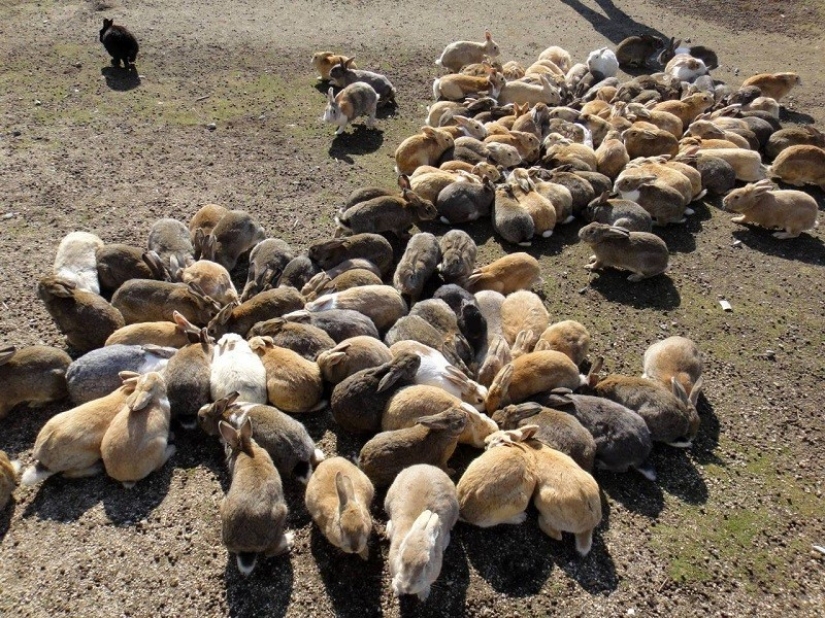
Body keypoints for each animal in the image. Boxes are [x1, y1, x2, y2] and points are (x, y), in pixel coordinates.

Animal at [218, 417, 291, 575]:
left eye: (227, 445)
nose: (225, 447)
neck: (244, 449)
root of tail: (246, 549)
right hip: (281, 512)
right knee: (270, 552)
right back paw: (289, 540)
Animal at [384, 465, 459, 601]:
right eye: (401, 557)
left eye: (427, 564)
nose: (408, 587)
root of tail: (425, 466)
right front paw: (397, 590)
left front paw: (423, 595)